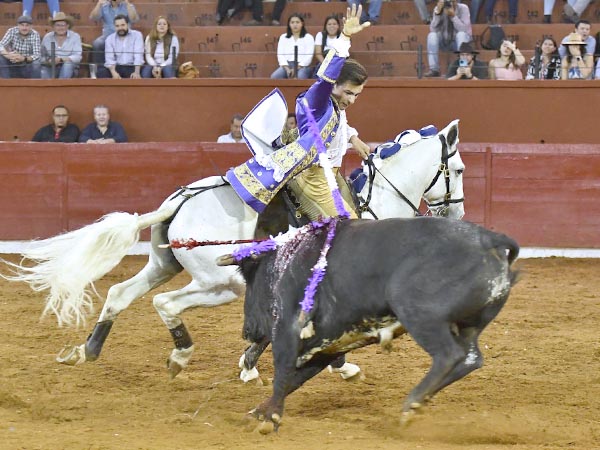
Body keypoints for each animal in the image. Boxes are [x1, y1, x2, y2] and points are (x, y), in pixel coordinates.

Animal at [2, 118, 466, 378]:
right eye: (459, 169)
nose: (457, 213)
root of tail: (181, 201)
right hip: (219, 282)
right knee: (166, 303)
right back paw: (179, 356)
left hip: (164, 264)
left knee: (119, 292)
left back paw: (87, 350)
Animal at [227, 220, 516, 430]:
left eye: (249, 284)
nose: (246, 330)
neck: (287, 261)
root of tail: (487, 239)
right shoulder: (326, 347)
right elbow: (293, 379)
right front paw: (259, 412)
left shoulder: (287, 331)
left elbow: (283, 373)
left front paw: (271, 418)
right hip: (468, 325)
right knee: (470, 358)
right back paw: (421, 400)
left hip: (419, 313)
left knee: (449, 355)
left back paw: (412, 403)